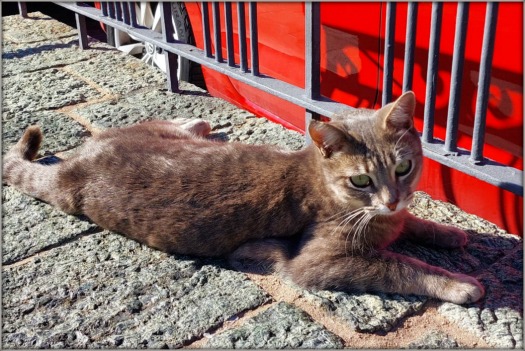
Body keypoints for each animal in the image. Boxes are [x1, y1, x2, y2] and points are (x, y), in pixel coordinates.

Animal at [3, 93, 484, 306]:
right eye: (361, 180)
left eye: (404, 168)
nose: (391, 199)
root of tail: (78, 160)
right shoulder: (318, 262)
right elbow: (399, 265)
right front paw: (459, 283)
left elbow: (413, 225)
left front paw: (448, 232)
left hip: (148, 132)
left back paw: (196, 120)